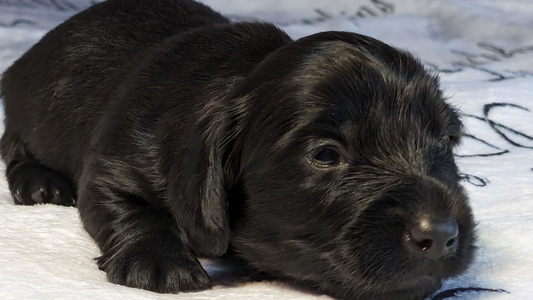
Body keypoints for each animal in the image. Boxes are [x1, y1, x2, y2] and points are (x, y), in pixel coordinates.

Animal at [0, 0, 474, 298]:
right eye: (325, 155)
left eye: (445, 140)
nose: (442, 235)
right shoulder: (114, 159)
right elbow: (122, 202)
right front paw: (158, 261)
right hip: (27, 107)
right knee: (15, 144)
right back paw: (39, 184)